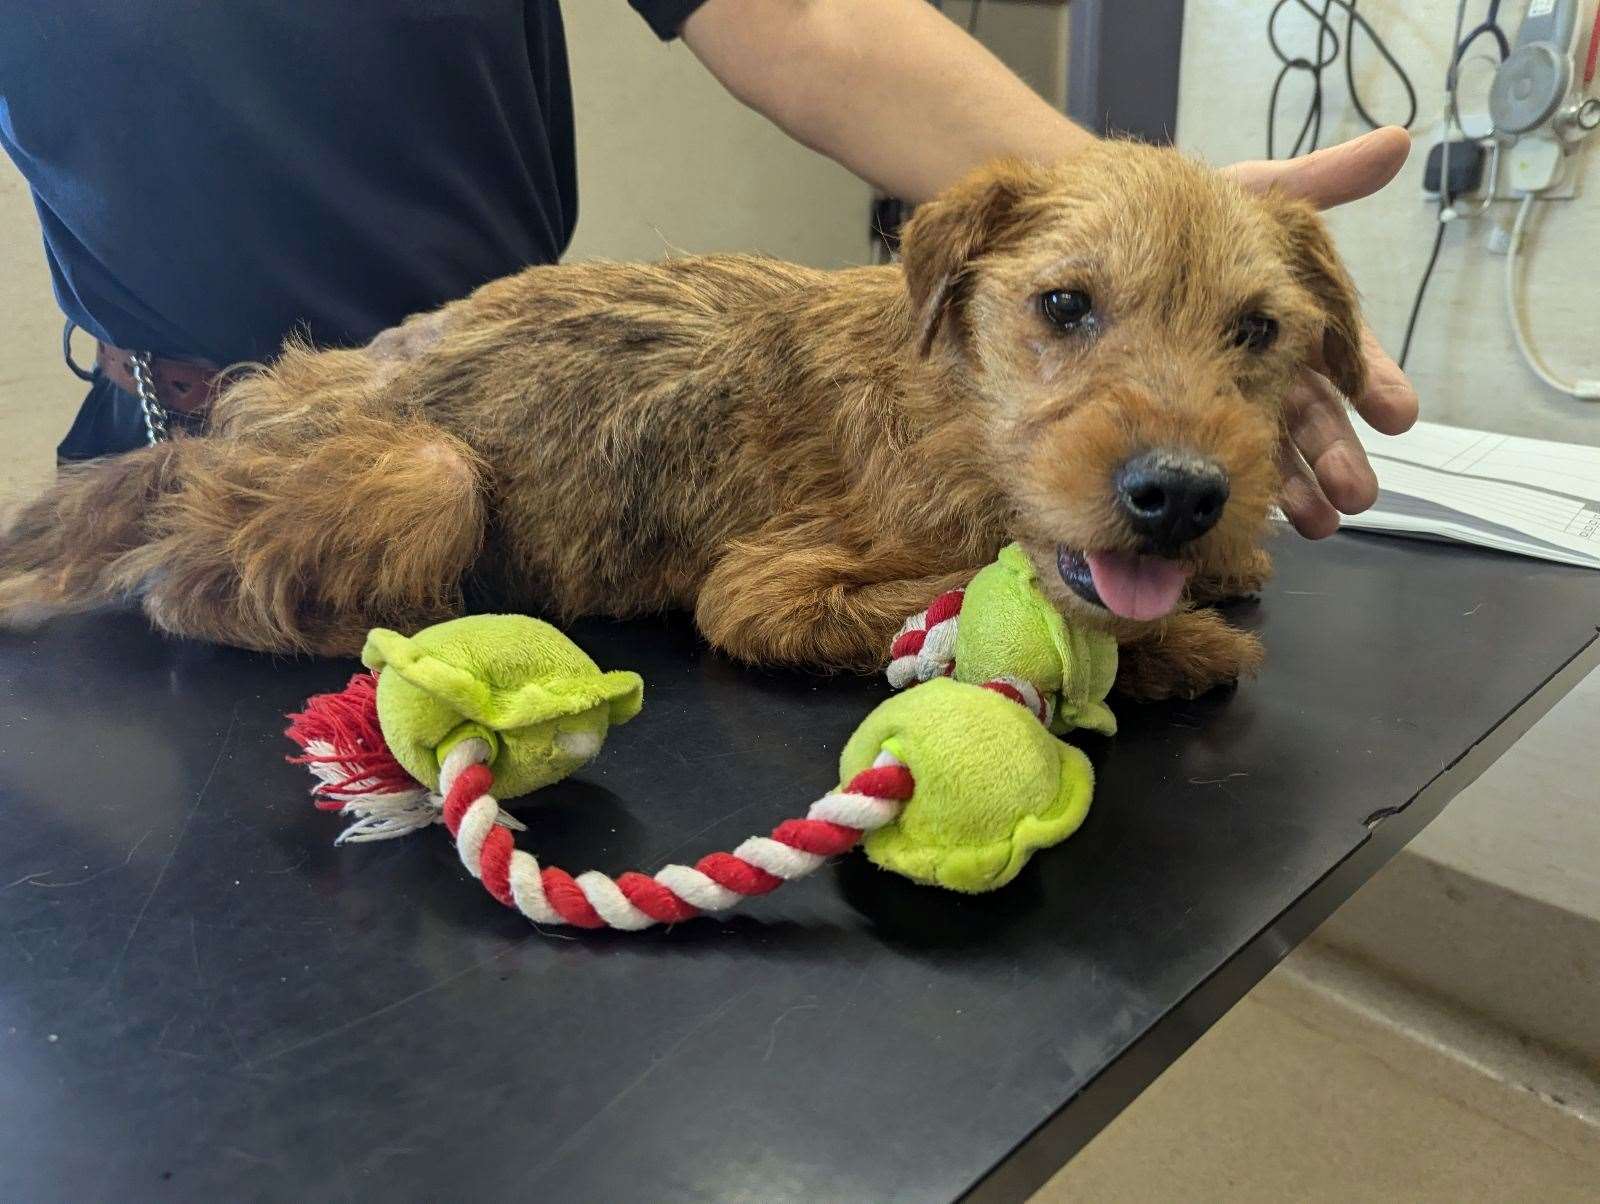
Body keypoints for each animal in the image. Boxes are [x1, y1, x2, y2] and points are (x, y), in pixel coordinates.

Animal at [0, 142, 1363, 701]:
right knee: (190, 590)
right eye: (1064, 305)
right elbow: (1031, 601)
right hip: (431, 469)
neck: (956, 400)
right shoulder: (766, 595)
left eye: (1257, 330)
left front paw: (1221, 564)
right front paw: (1181, 643)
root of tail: (244, 414)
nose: (1178, 493)